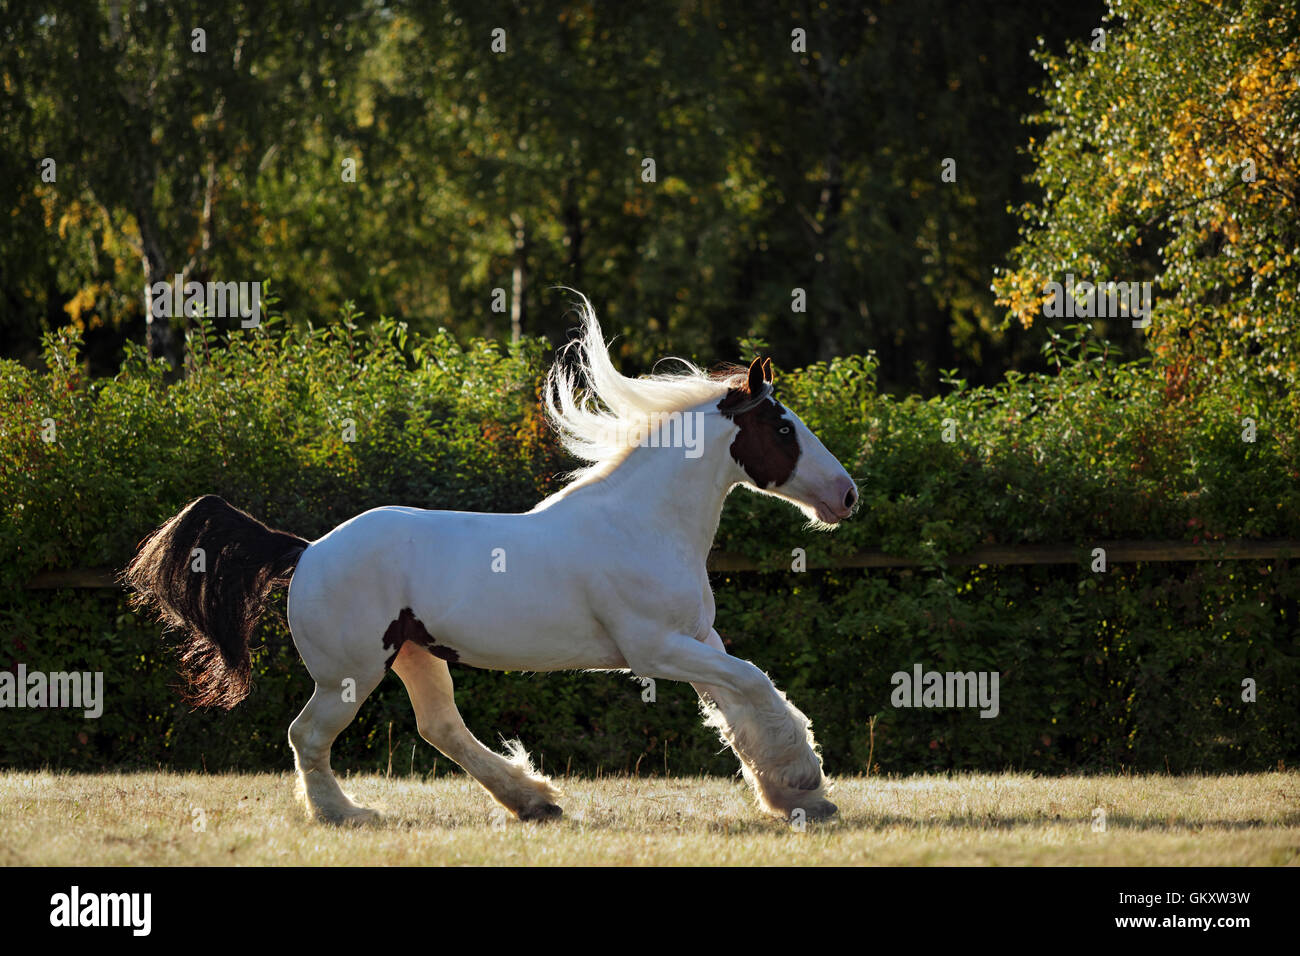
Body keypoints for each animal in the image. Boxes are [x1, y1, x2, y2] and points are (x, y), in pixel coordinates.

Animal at [125, 297, 858, 824]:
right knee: (307, 735)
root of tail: (307, 552)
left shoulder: (697, 638)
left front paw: (795, 795)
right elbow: (756, 685)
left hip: (415, 654)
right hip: (348, 673)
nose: (846, 496)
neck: (642, 524)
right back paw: (348, 814)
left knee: (440, 727)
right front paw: (804, 784)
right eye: (784, 427)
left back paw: (534, 801)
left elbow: (742, 705)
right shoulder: (655, 650)